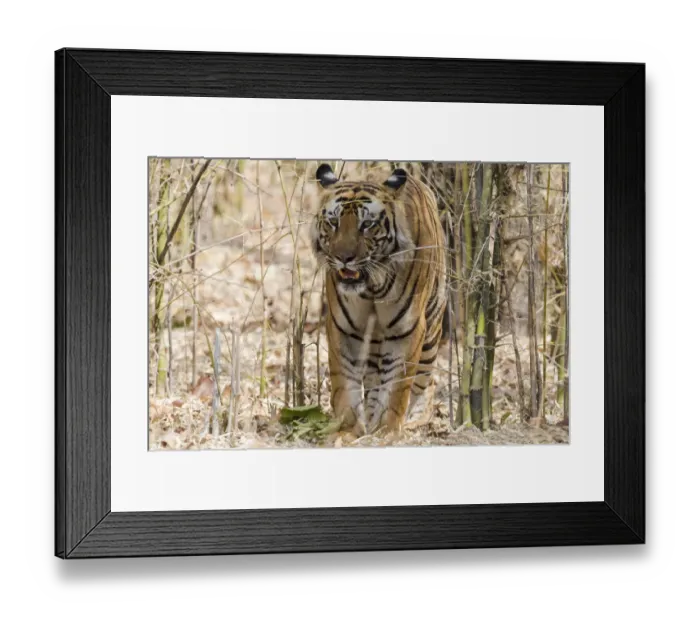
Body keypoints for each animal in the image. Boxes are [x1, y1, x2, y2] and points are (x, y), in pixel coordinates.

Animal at [311, 163, 447, 436]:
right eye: (333, 222)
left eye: (367, 224)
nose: (344, 258)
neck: (372, 287)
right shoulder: (343, 327)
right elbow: (345, 381)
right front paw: (348, 429)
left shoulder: (407, 330)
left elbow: (397, 386)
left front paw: (387, 430)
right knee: (373, 378)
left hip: (431, 336)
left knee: (421, 383)